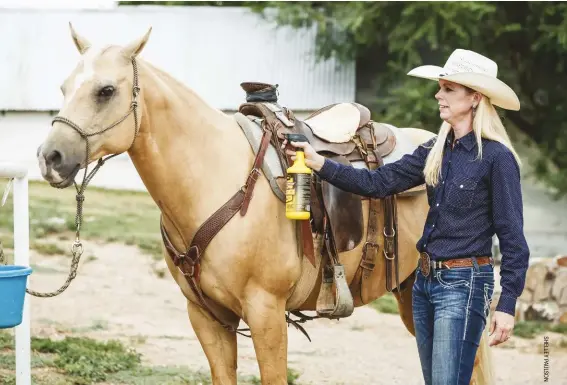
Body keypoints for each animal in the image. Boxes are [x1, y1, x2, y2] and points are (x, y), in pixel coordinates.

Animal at [36, 26, 492, 384]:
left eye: (106, 90)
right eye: (63, 88)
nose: (50, 157)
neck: (215, 180)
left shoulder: (266, 314)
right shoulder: (207, 318)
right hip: (411, 297)